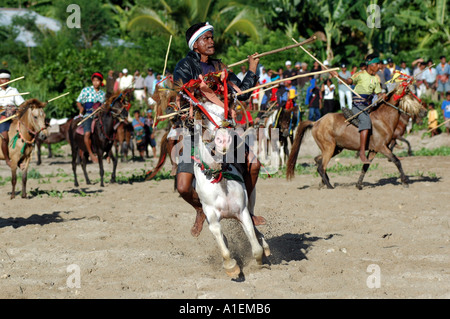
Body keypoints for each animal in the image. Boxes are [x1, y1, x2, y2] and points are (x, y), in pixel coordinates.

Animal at [191, 102, 268, 278]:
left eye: (225, 113)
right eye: (203, 115)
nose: (224, 140)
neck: (220, 180)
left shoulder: (242, 211)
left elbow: (256, 248)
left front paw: (260, 262)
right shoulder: (212, 218)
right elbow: (224, 247)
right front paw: (231, 268)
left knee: (254, 226)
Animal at [288, 84, 426, 191]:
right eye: (410, 97)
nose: (424, 112)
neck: (383, 118)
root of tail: (316, 122)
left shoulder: (373, 150)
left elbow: (365, 166)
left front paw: (359, 185)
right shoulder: (382, 147)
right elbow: (396, 161)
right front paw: (405, 181)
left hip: (335, 148)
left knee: (318, 160)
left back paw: (324, 182)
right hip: (329, 147)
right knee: (321, 167)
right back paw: (329, 186)